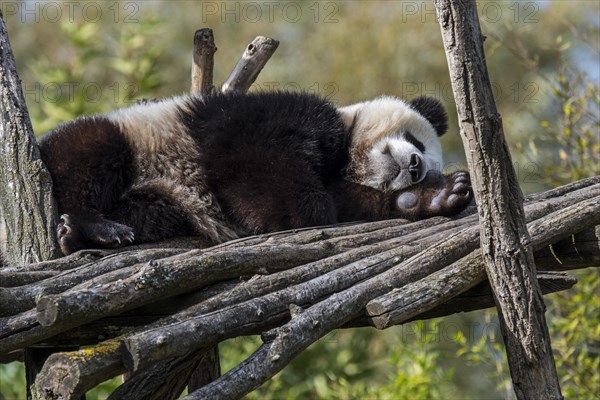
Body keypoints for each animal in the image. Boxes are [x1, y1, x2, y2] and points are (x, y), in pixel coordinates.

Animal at [38, 91, 474, 255]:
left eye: (426, 168)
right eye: (418, 143)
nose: (415, 167)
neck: (348, 161)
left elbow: (354, 204)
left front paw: (431, 197)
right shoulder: (266, 114)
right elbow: (254, 160)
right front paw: (302, 209)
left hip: (161, 202)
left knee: (152, 212)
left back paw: (79, 234)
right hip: (129, 137)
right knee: (89, 153)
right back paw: (96, 226)